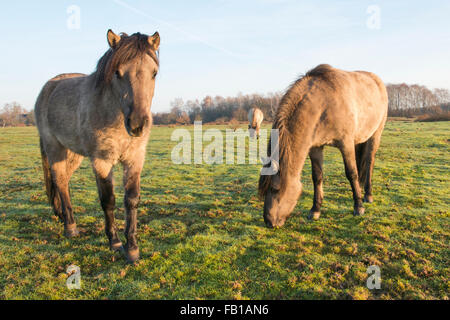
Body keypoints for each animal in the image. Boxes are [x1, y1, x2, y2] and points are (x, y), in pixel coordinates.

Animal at [35, 29, 162, 262]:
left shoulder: (135, 159)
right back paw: (70, 227)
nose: (137, 125)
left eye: (154, 73)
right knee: (60, 181)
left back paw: (64, 216)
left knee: (64, 181)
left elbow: (131, 199)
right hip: (54, 148)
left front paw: (132, 248)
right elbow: (108, 200)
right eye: (118, 73)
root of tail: (50, 86)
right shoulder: (101, 161)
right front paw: (115, 242)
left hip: (73, 153)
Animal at [258, 64, 388, 228]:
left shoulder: (346, 144)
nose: (268, 222)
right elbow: (317, 176)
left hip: (375, 135)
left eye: (275, 189)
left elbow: (351, 173)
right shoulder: (315, 148)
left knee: (370, 162)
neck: (324, 105)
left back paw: (367, 195)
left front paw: (358, 207)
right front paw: (315, 210)